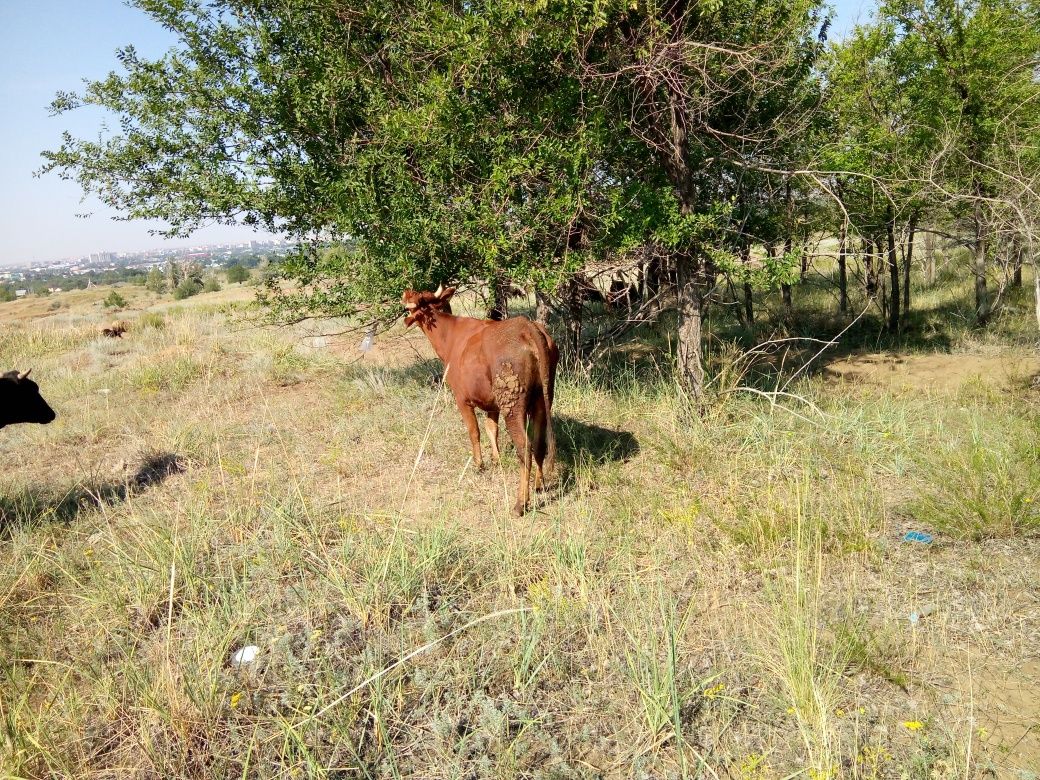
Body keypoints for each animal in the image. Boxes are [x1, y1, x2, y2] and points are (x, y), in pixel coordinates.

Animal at [401, 284, 561, 515]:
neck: (449, 338)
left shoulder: (461, 399)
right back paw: (539, 485)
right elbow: (491, 429)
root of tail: (527, 327)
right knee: (539, 443)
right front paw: (496, 460)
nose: (405, 292)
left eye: (412, 300)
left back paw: (520, 503)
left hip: (512, 403)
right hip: (542, 397)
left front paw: (479, 464)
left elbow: (474, 431)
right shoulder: (491, 403)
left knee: (525, 448)